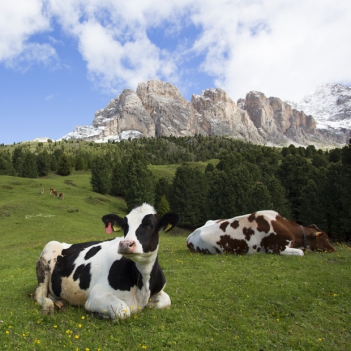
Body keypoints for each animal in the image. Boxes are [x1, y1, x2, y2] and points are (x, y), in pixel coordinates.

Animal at [35, 205, 182, 320]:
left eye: (151, 225)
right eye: (124, 226)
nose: (125, 244)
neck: (143, 286)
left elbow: (166, 301)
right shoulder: (96, 295)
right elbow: (123, 310)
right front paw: (98, 314)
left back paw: (60, 302)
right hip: (47, 253)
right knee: (40, 295)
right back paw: (48, 306)